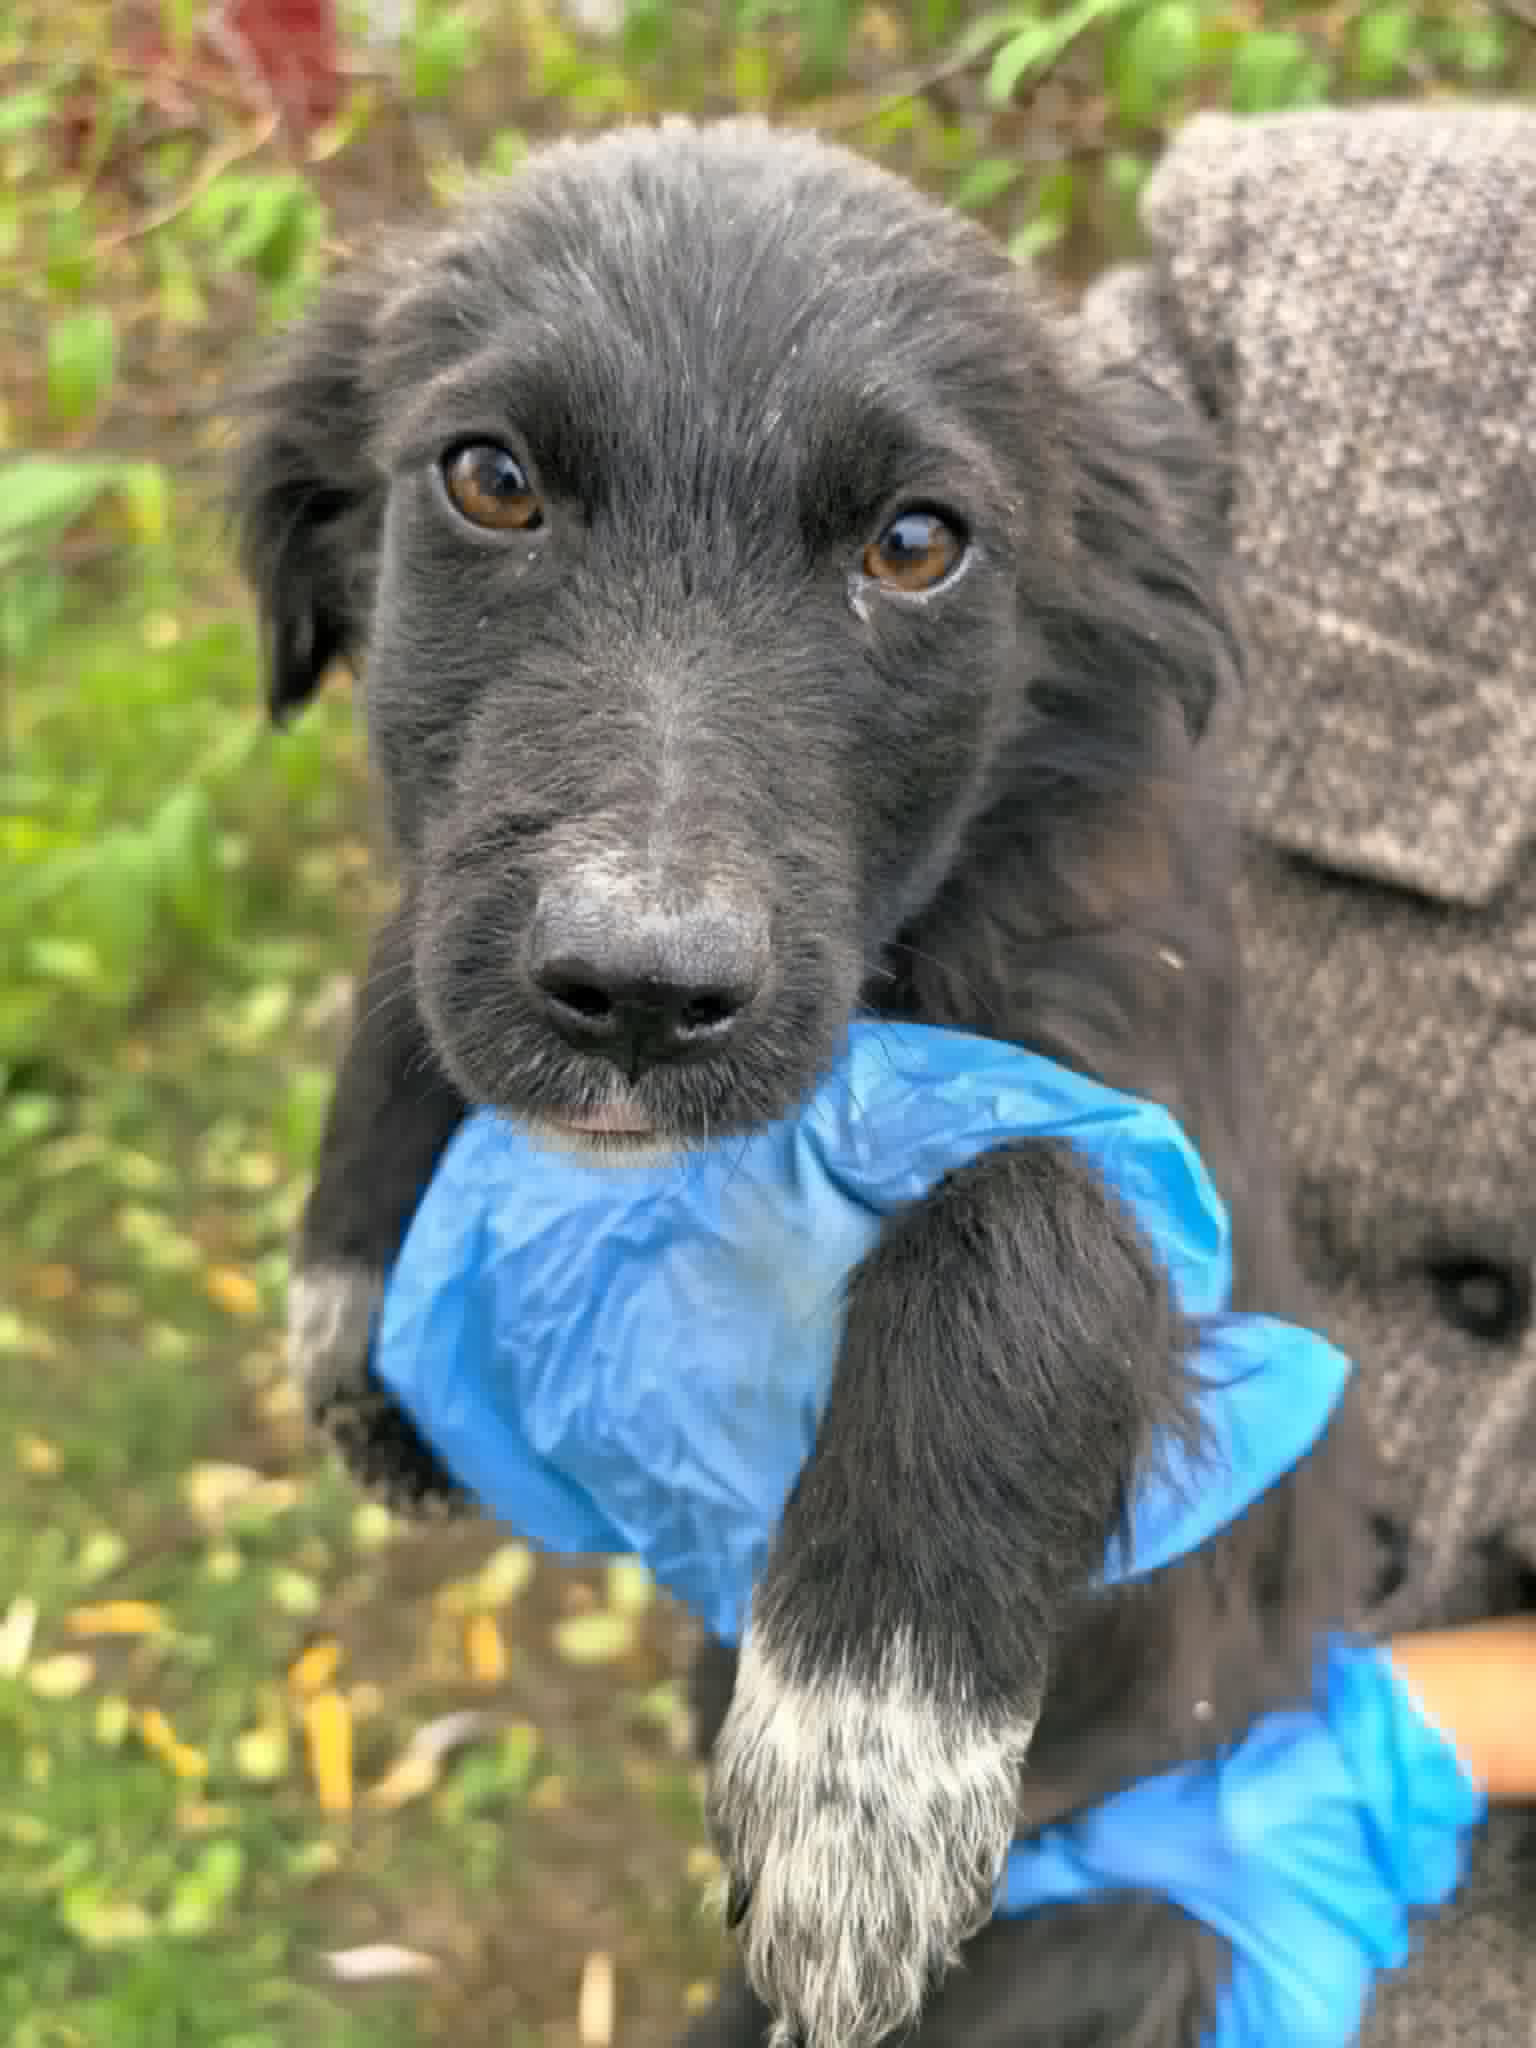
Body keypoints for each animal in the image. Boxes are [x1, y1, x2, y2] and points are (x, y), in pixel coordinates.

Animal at [231, 117, 1376, 2048]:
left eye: (918, 543)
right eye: (489, 480)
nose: (638, 994)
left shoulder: (1151, 1113)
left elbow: (1031, 1212)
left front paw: (866, 1765)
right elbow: (414, 955)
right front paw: (345, 1278)